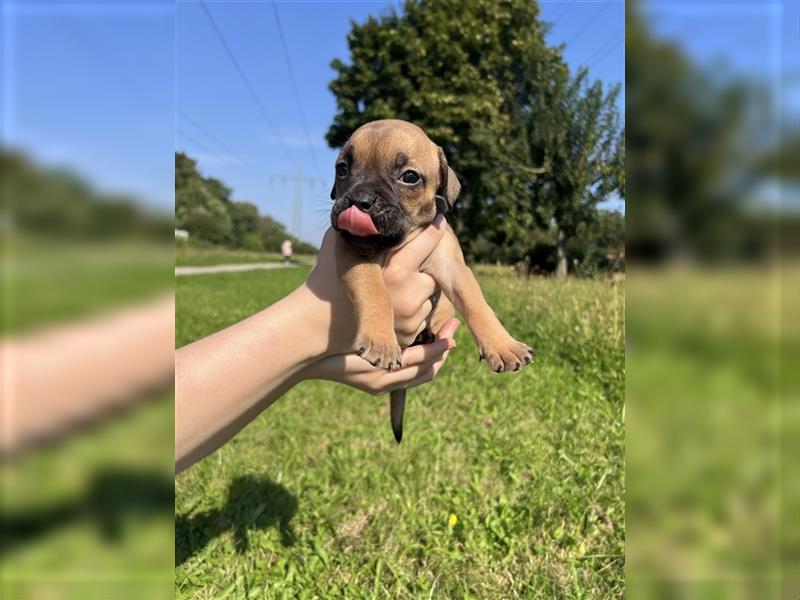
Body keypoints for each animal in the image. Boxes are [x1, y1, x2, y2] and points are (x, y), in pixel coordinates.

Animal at [328, 119, 536, 442]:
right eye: (342, 169)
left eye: (410, 177)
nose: (359, 201)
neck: (395, 242)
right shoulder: (354, 253)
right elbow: (374, 291)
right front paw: (381, 341)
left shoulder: (454, 269)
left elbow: (477, 305)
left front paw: (503, 345)